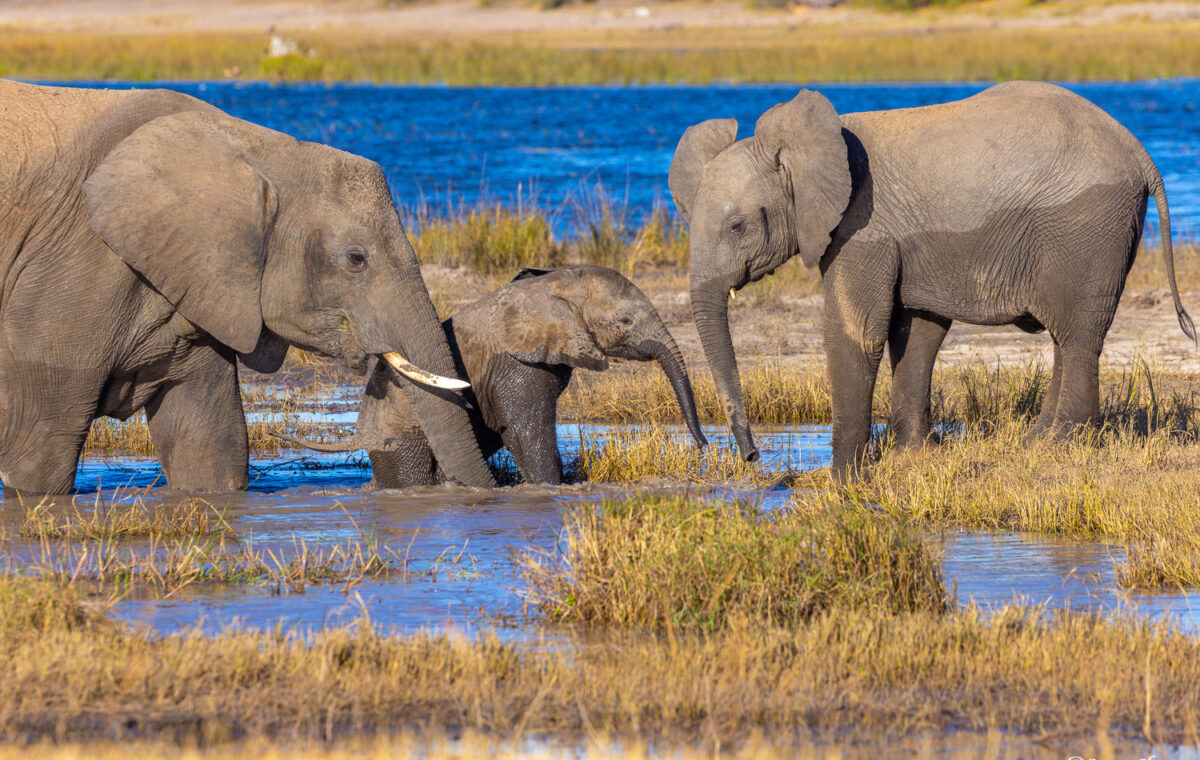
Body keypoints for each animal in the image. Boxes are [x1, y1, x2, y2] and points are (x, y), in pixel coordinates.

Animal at [280, 265, 708, 486]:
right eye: (625, 322)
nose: (703, 447)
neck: (552, 285)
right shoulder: (514, 365)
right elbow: (524, 432)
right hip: (401, 436)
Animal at [669, 81, 1193, 478]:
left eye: (737, 226)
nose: (752, 456)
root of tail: (1140, 152)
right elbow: (917, 333)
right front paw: (912, 457)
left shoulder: (862, 228)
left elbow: (856, 333)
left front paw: (842, 480)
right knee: (1070, 336)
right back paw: (1036, 441)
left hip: (1086, 225)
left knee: (1078, 333)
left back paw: (1061, 445)